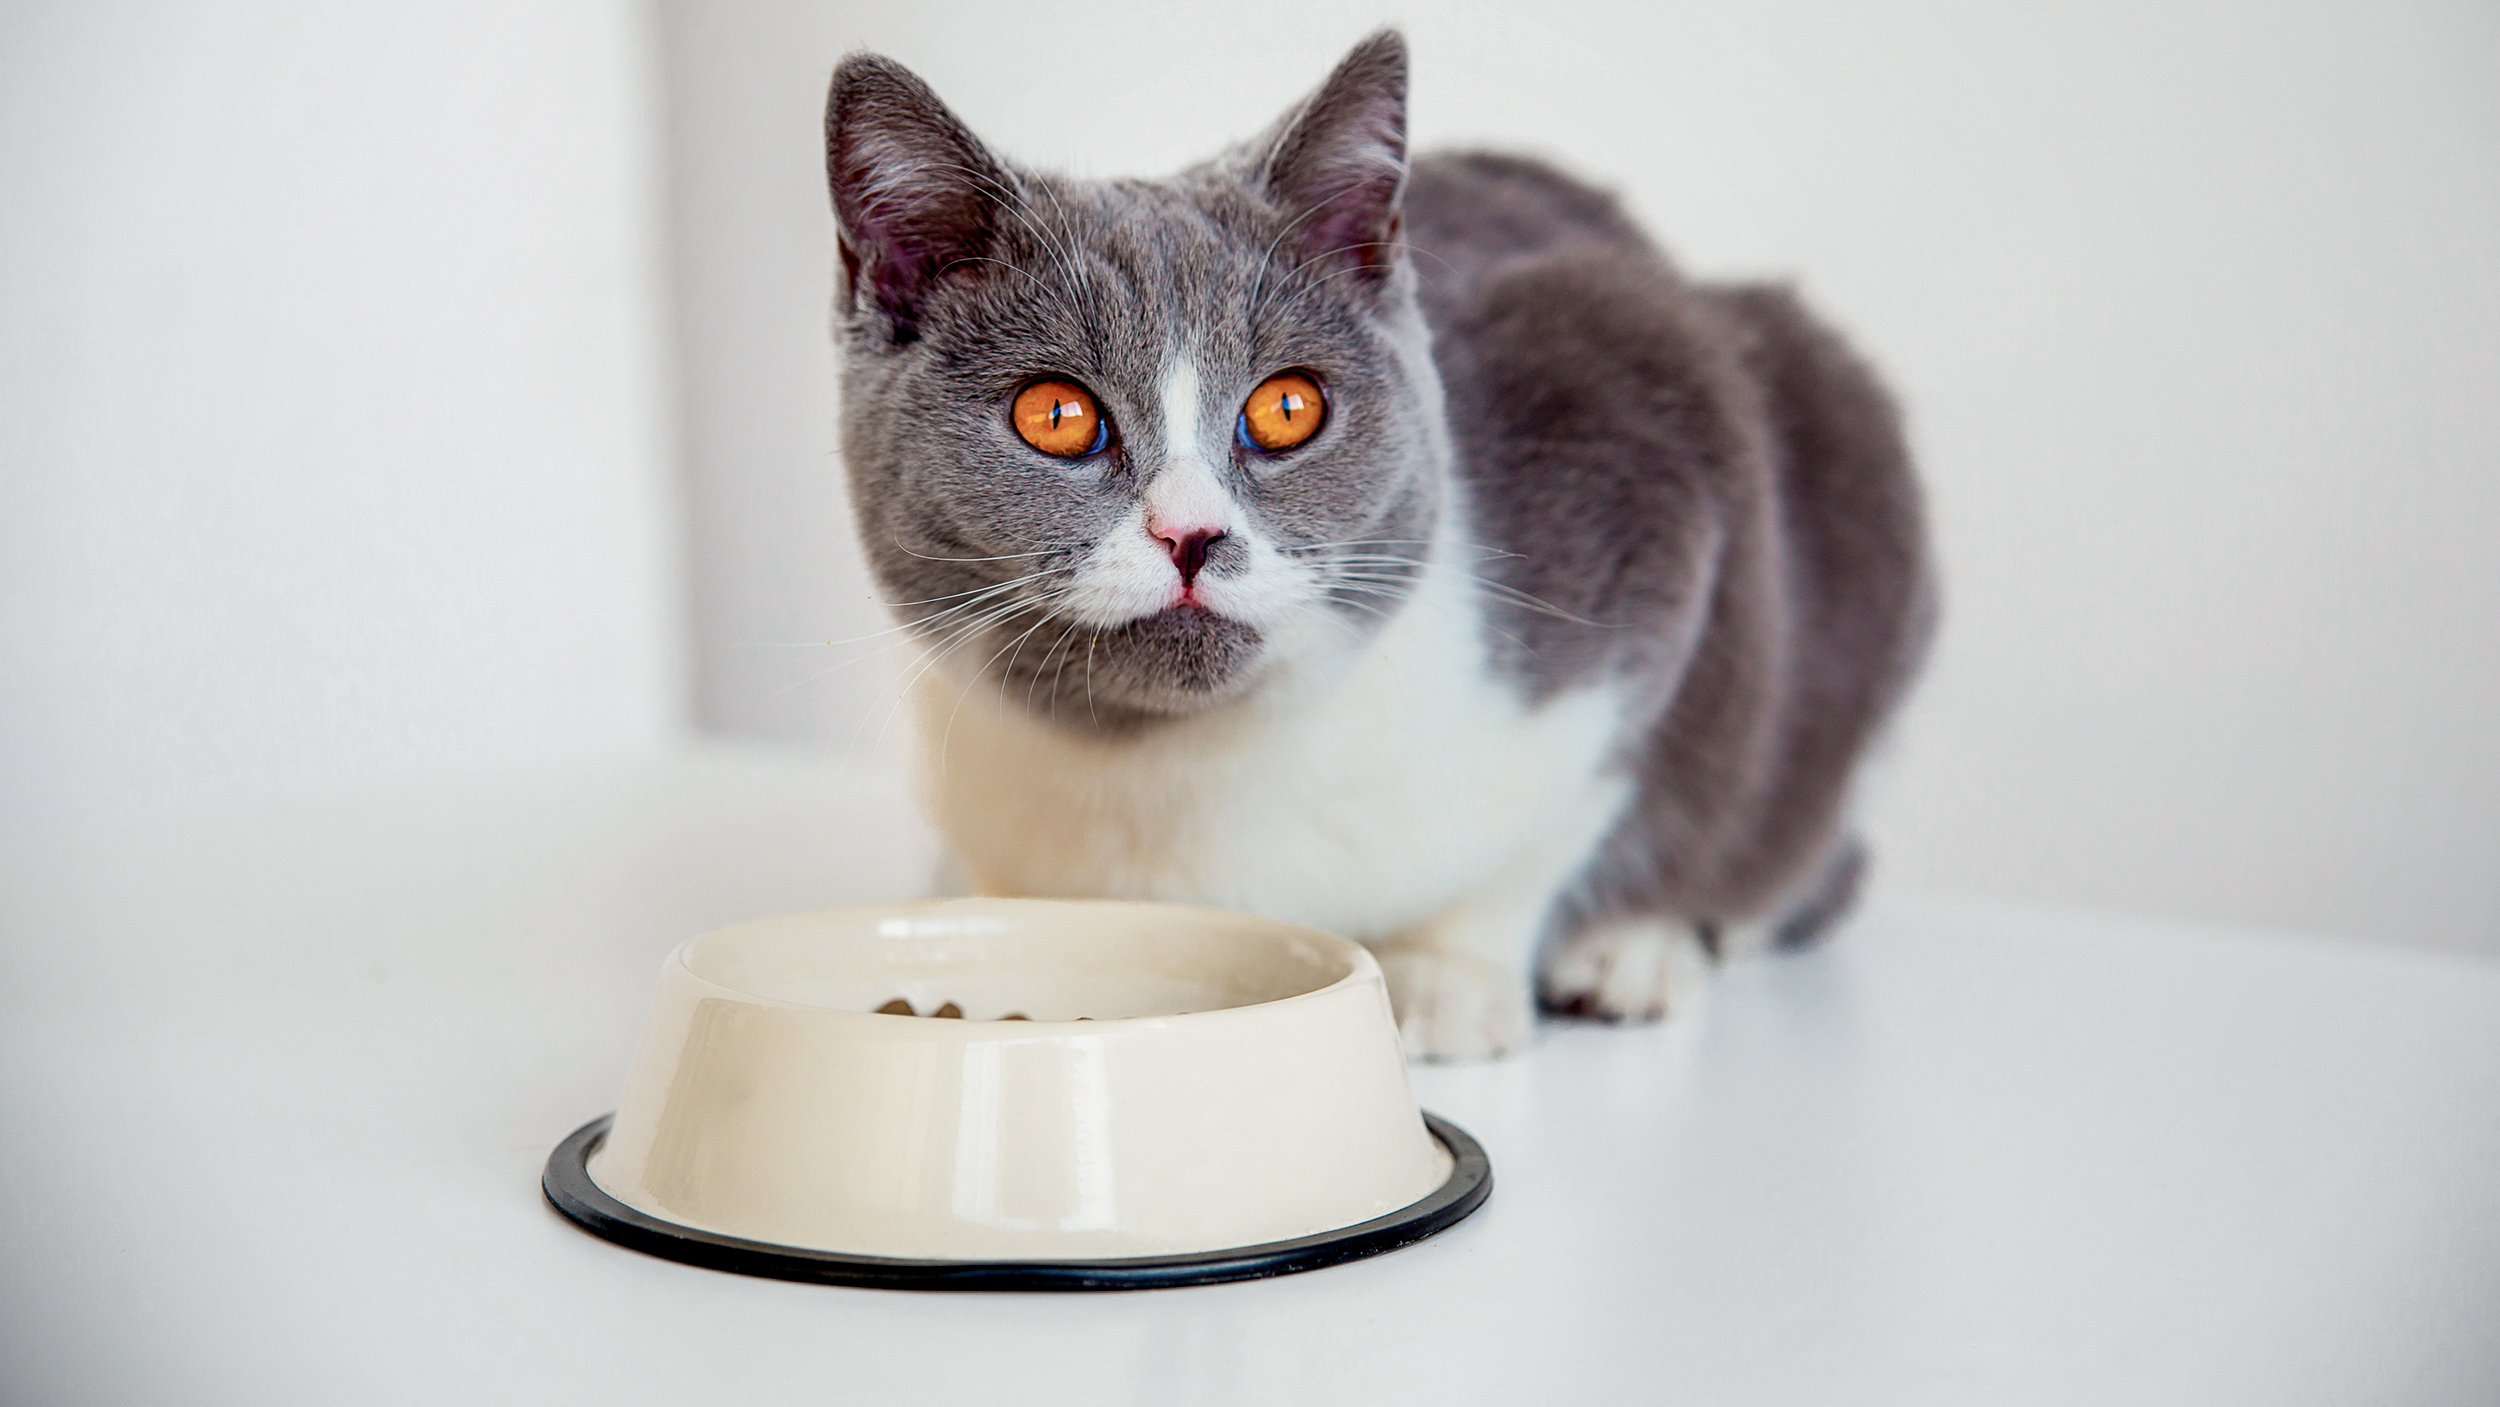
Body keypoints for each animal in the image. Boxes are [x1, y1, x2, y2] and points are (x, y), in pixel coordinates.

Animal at [820, 30, 1930, 1059]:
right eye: (1055, 415)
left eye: (1287, 408)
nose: (1192, 534)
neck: (1178, 774)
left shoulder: (1650, 437)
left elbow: (1567, 813)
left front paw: (1445, 982)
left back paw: (1636, 952)